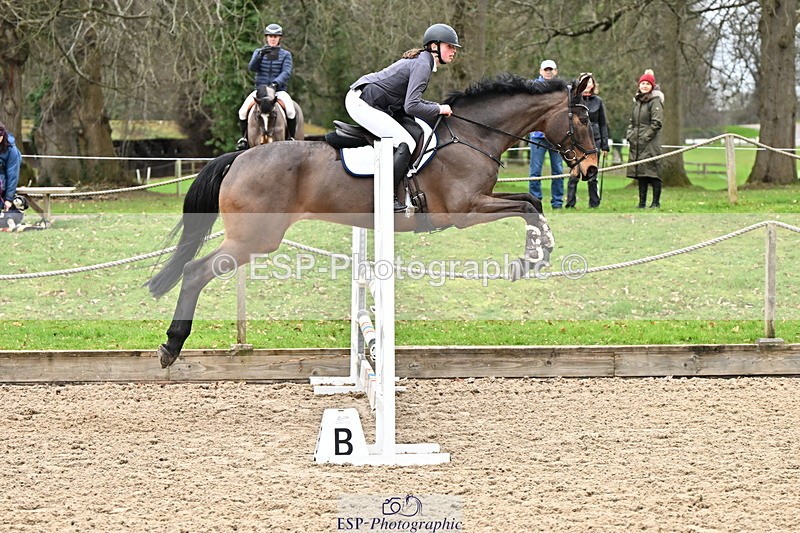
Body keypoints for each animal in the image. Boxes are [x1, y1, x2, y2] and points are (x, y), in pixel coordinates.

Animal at [147, 73, 597, 368]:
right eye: (582, 119)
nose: (591, 168)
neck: (474, 135)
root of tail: (239, 157)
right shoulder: (464, 210)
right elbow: (527, 205)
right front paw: (532, 258)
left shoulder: (478, 202)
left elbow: (530, 199)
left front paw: (535, 255)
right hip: (253, 239)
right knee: (194, 271)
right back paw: (171, 347)